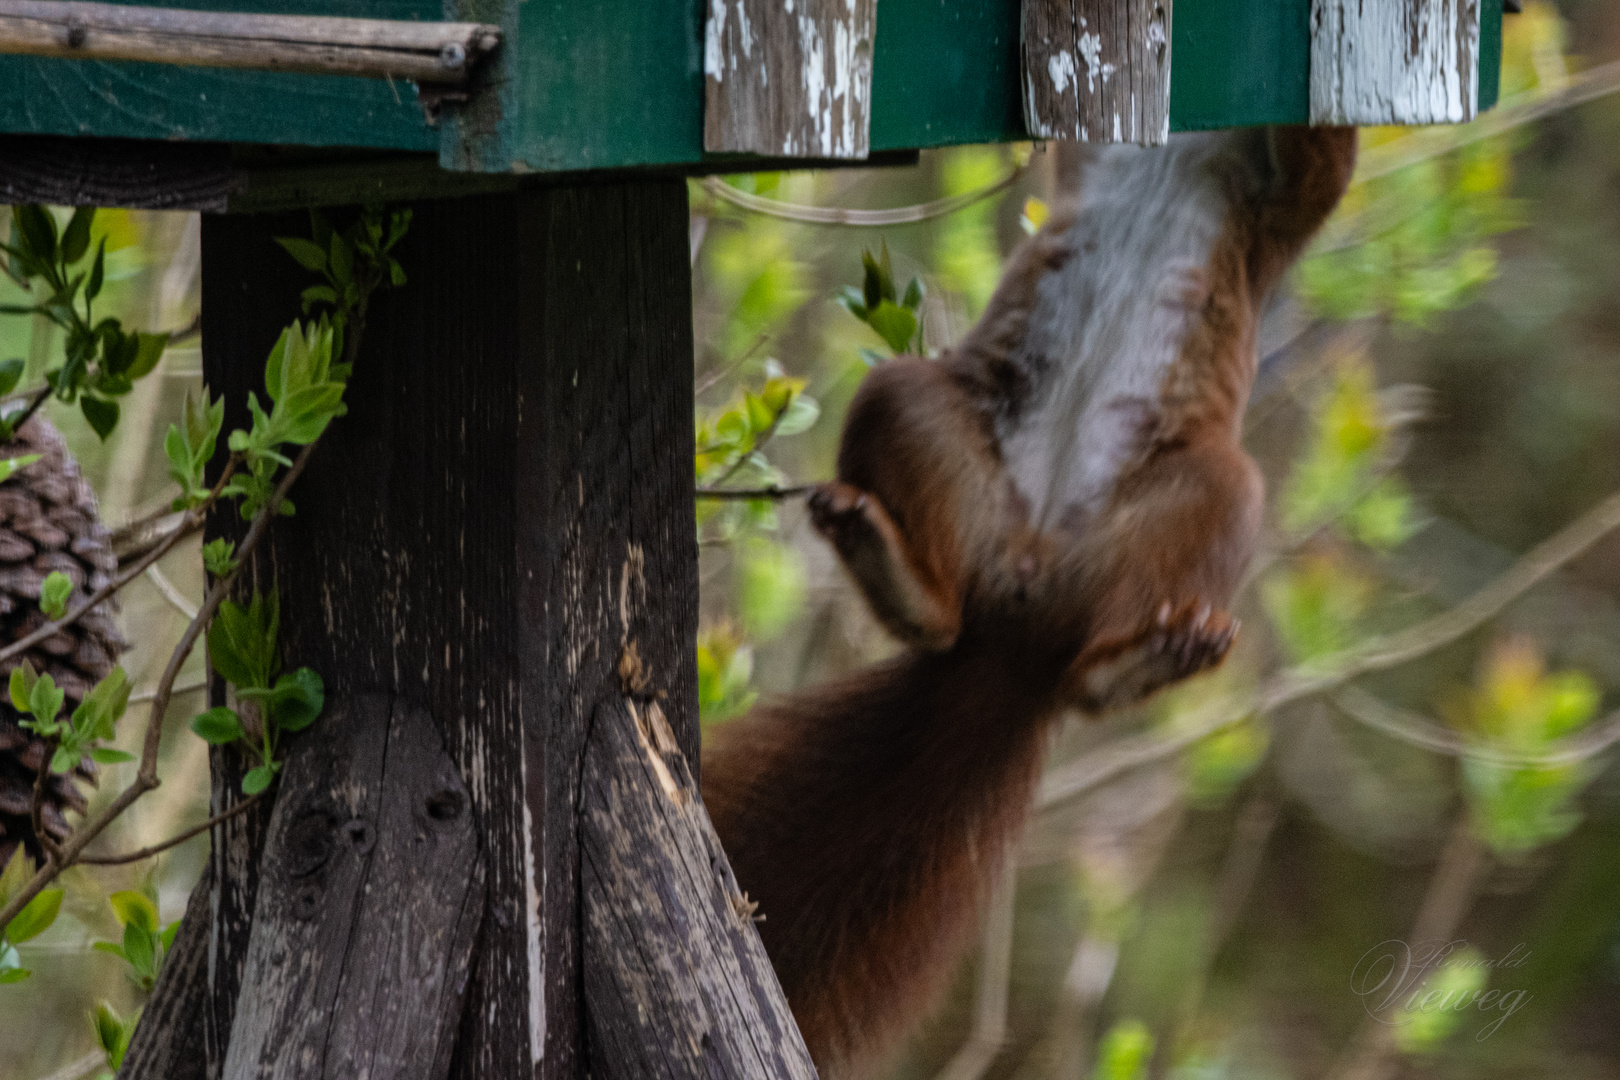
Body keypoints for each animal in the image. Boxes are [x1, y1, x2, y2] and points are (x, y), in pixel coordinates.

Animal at [706, 124, 1354, 1075]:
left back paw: (1137, 660)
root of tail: (1021, 639)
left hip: (1204, 497)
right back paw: (902, 575)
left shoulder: (1271, 203)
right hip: (923, 410)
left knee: (1094, 668)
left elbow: (1319, 170)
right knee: (940, 588)